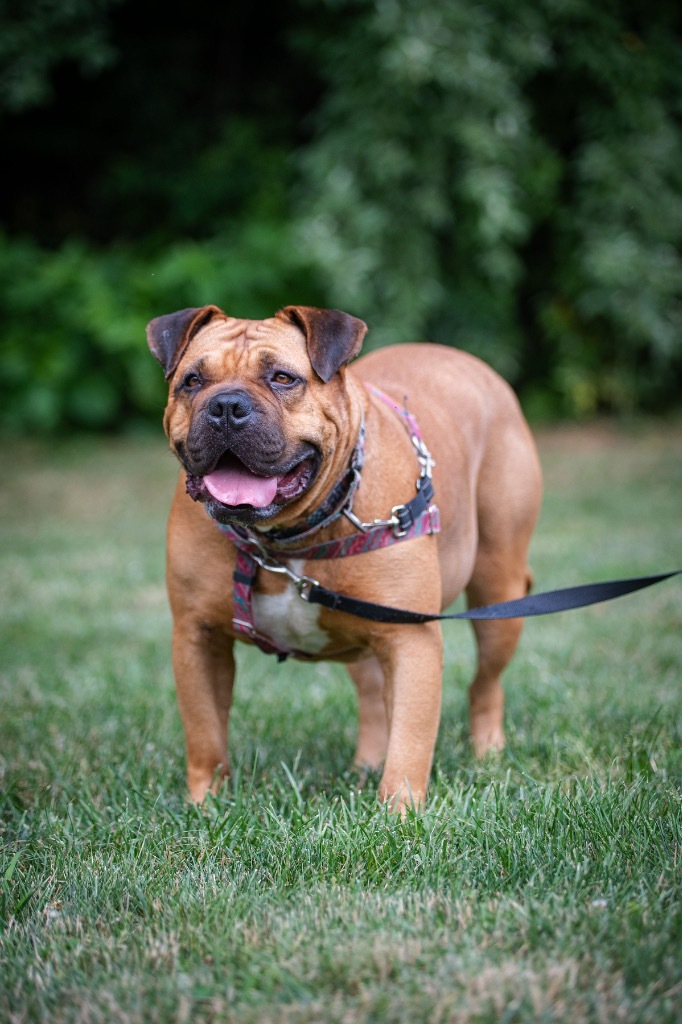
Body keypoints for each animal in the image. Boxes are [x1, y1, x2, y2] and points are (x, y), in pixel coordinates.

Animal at [146, 303, 540, 815]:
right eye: (192, 381)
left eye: (283, 378)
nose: (226, 406)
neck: (283, 538)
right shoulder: (198, 637)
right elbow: (205, 733)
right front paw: (206, 805)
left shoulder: (411, 639)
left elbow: (411, 740)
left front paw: (400, 815)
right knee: (373, 695)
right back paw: (366, 765)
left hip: (498, 590)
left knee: (485, 682)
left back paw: (487, 752)